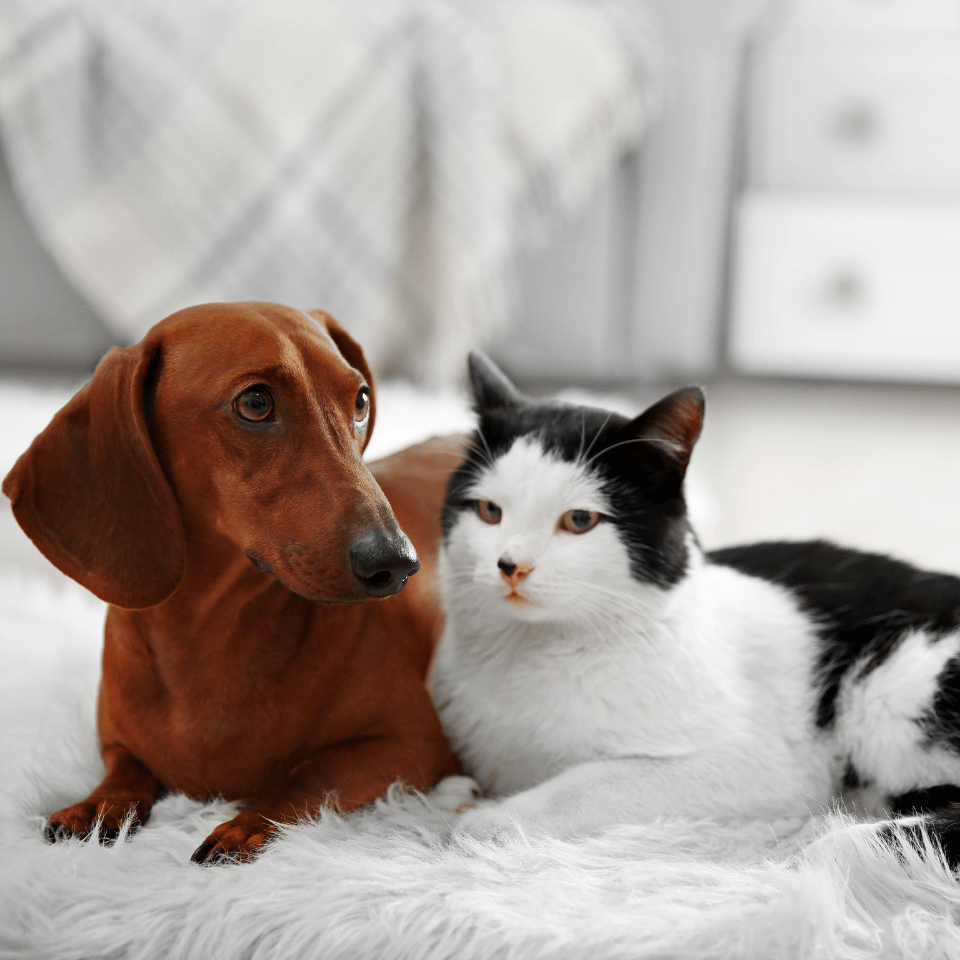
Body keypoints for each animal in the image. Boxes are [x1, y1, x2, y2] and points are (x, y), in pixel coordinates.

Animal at [0, 300, 464, 864]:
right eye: (256, 402)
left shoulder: (412, 742)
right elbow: (125, 767)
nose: (397, 563)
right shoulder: (115, 741)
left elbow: (308, 775)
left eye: (359, 399)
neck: (209, 636)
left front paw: (248, 824)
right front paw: (98, 804)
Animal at [432, 352, 960, 848]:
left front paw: (495, 820)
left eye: (579, 520)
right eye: (489, 511)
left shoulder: (759, 765)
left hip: (894, 687)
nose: (511, 565)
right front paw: (456, 794)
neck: (531, 651)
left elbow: (592, 783)